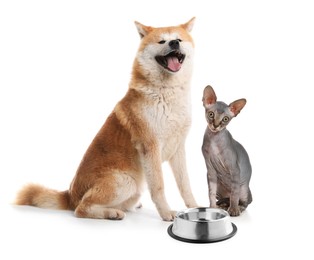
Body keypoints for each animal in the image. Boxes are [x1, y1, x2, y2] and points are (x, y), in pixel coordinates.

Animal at [15, 17, 197, 221]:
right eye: (161, 41)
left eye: (178, 39)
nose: (173, 43)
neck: (167, 94)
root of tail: (70, 196)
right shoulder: (150, 148)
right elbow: (158, 187)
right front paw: (166, 213)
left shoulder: (178, 148)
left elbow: (185, 184)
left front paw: (196, 207)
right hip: (126, 181)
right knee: (82, 208)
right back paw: (112, 213)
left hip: (133, 188)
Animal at [201, 85, 253, 215]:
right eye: (211, 114)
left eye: (225, 119)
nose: (215, 125)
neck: (214, 141)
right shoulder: (210, 170)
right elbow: (211, 192)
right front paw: (213, 208)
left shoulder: (234, 169)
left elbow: (234, 194)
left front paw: (234, 210)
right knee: (226, 198)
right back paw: (223, 205)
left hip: (243, 187)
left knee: (243, 201)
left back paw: (237, 207)